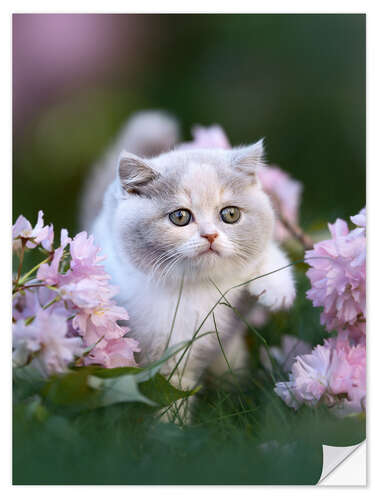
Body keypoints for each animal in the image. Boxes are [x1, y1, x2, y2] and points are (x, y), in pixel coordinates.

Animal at [83, 112, 296, 418]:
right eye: (180, 217)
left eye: (230, 214)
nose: (210, 235)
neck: (197, 287)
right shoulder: (164, 349)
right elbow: (171, 389)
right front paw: (174, 425)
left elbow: (264, 249)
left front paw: (276, 289)